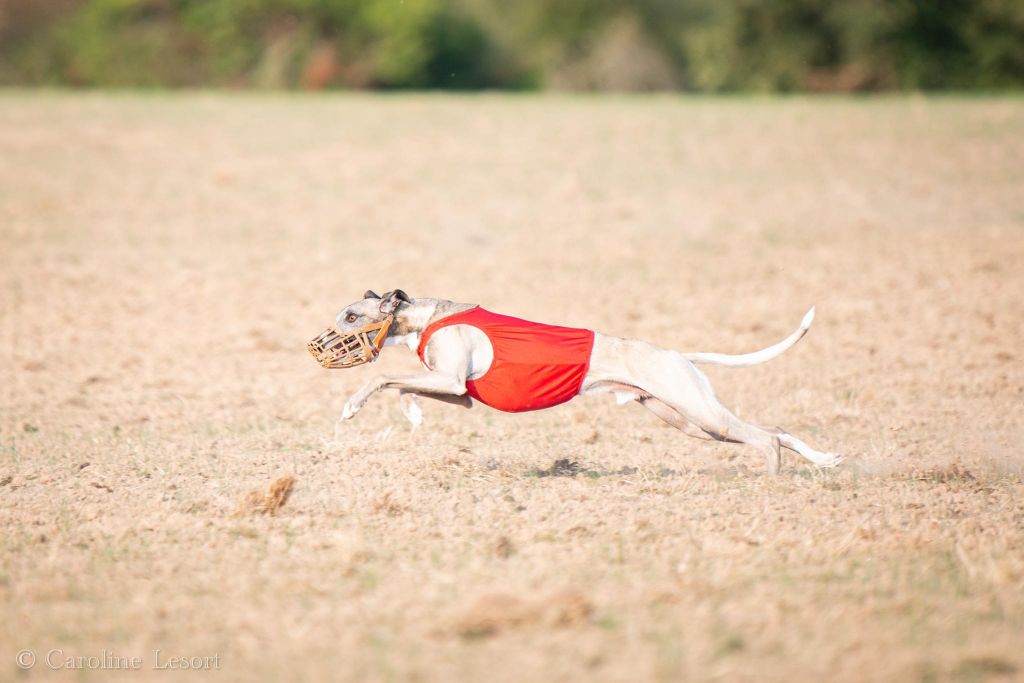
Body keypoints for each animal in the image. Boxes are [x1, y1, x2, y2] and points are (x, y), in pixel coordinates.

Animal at [317, 290, 839, 475]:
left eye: (351, 316)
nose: (318, 343)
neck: (424, 316)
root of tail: (676, 354)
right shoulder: (457, 393)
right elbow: (404, 386)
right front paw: (413, 414)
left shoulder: (451, 380)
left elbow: (383, 376)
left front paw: (352, 405)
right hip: (690, 420)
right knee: (775, 429)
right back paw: (825, 460)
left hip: (699, 412)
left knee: (767, 437)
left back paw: (773, 476)